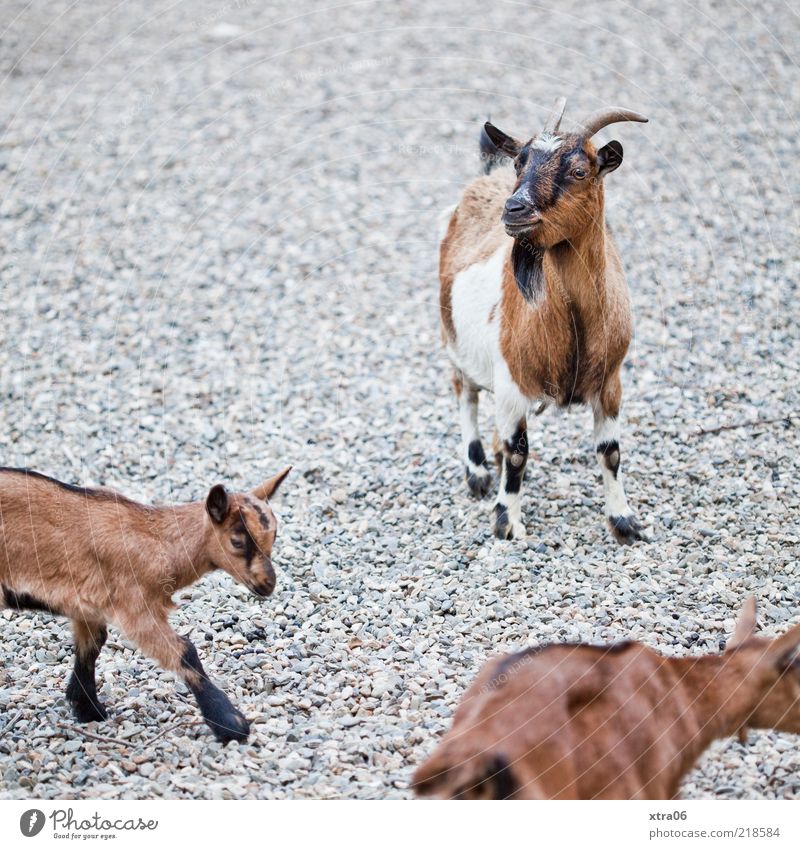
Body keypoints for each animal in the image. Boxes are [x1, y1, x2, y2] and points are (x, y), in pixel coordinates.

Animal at [0, 464, 290, 744]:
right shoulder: (135, 606)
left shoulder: (88, 605)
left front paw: (88, 709)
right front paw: (231, 724)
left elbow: (91, 646)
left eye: (275, 536)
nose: (268, 584)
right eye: (237, 542)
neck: (159, 542)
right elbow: (185, 650)